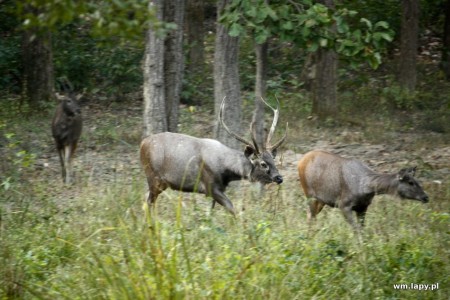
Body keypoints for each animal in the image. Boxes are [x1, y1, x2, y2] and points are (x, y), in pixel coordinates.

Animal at [140, 96, 288, 216]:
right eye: (263, 163)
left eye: (273, 159)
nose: (279, 178)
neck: (227, 171)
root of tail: (142, 144)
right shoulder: (210, 186)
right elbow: (232, 209)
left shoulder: (217, 189)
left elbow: (210, 213)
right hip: (153, 177)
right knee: (148, 202)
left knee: (146, 200)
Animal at [298, 150, 428, 230]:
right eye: (411, 182)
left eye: (418, 181)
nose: (426, 197)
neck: (366, 188)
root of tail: (301, 161)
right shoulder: (343, 205)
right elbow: (356, 230)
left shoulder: (363, 207)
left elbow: (361, 229)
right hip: (309, 193)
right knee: (311, 216)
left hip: (321, 200)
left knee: (310, 215)